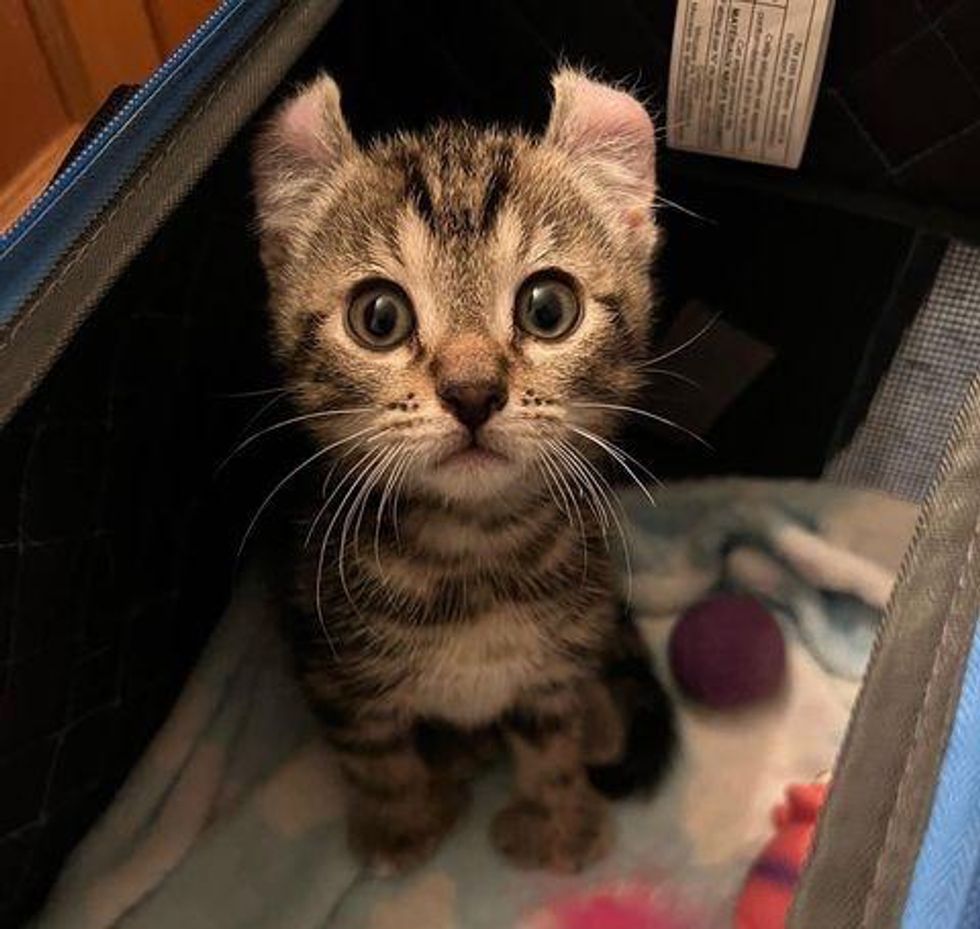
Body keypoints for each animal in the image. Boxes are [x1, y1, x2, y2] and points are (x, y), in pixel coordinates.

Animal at [253, 69, 676, 872]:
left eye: (548, 308)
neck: (472, 555)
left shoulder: (553, 669)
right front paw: (401, 823)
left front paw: (556, 821)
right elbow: (374, 754)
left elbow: (553, 745)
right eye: (378, 317)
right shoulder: (329, 666)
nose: (473, 391)